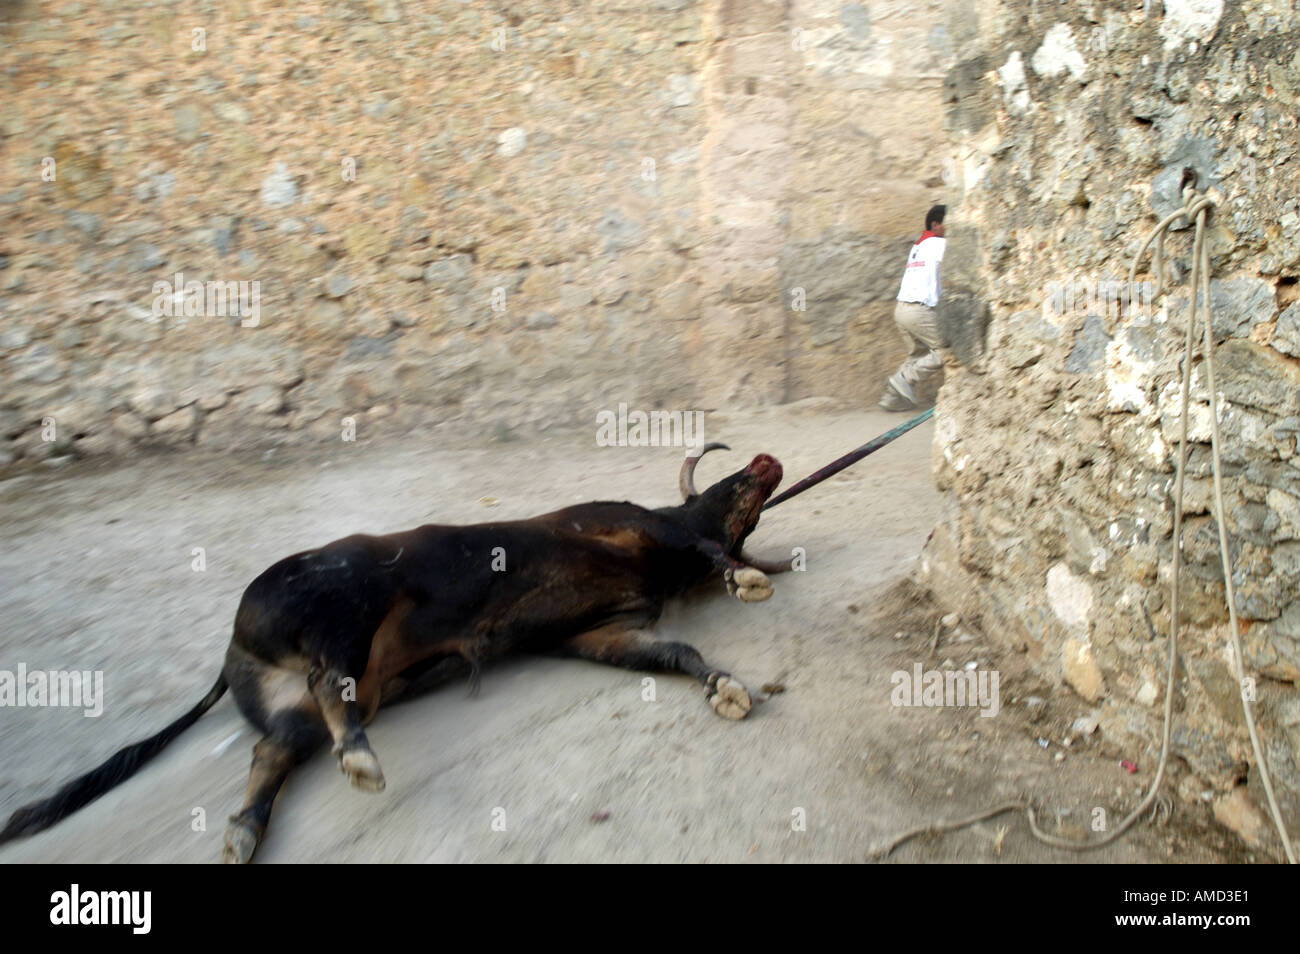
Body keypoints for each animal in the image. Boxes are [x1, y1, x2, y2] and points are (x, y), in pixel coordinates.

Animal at [0, 447, 790, 868]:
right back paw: (359, 760)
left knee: (274, 749)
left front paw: (725, 686)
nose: (765, 460)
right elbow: (706, 548)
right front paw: (744, 580)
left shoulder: (602, 634)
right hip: (348, 609)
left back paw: (243, 831)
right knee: (329, 681)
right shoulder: (628, 526)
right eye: (729, 484)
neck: (659, 566)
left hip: (305, 707)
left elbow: (679, 650)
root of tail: (231, 646)